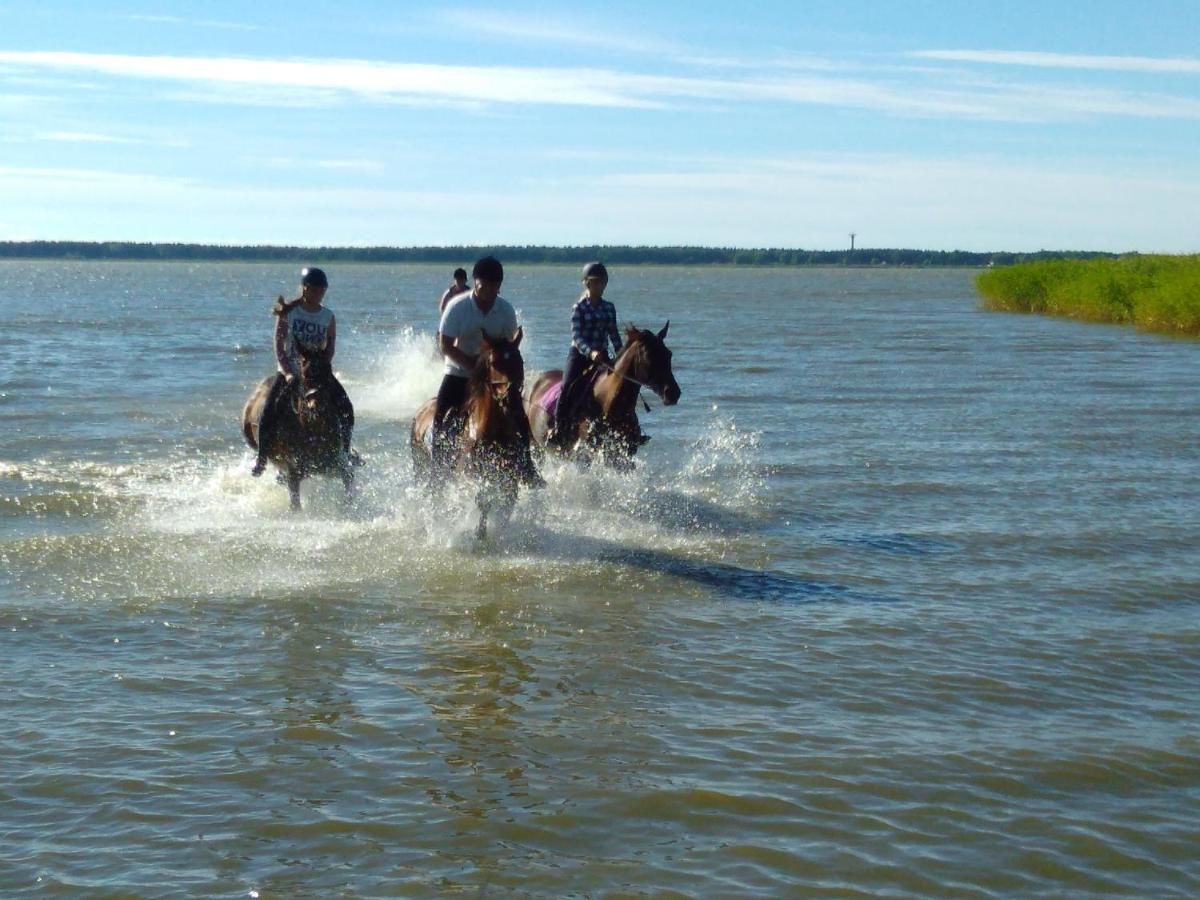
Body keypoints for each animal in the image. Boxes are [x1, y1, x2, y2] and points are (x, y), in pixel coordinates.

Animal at [241, 340, 352, 511]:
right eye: (304, 373)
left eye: (328, 371)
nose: (316, 405)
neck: (313, 433)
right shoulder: (294, 472)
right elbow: (295, 504)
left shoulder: (337, 464)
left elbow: (348, 483)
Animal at [410, 331, 528, 542]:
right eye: (494, 363)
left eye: (519, 361)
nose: (511, 397)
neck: (494, 432)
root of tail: (420, 411)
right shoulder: (473, 477)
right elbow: (483, 501)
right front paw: (479, 534)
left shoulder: (509, 479)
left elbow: (505, 506)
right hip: (423, 467)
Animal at [528, 321, 686, 472]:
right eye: (648, 355)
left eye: (669, 354)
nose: (673, 393)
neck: (608, 404)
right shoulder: (589, 452)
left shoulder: (624, 453)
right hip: (536, 446)